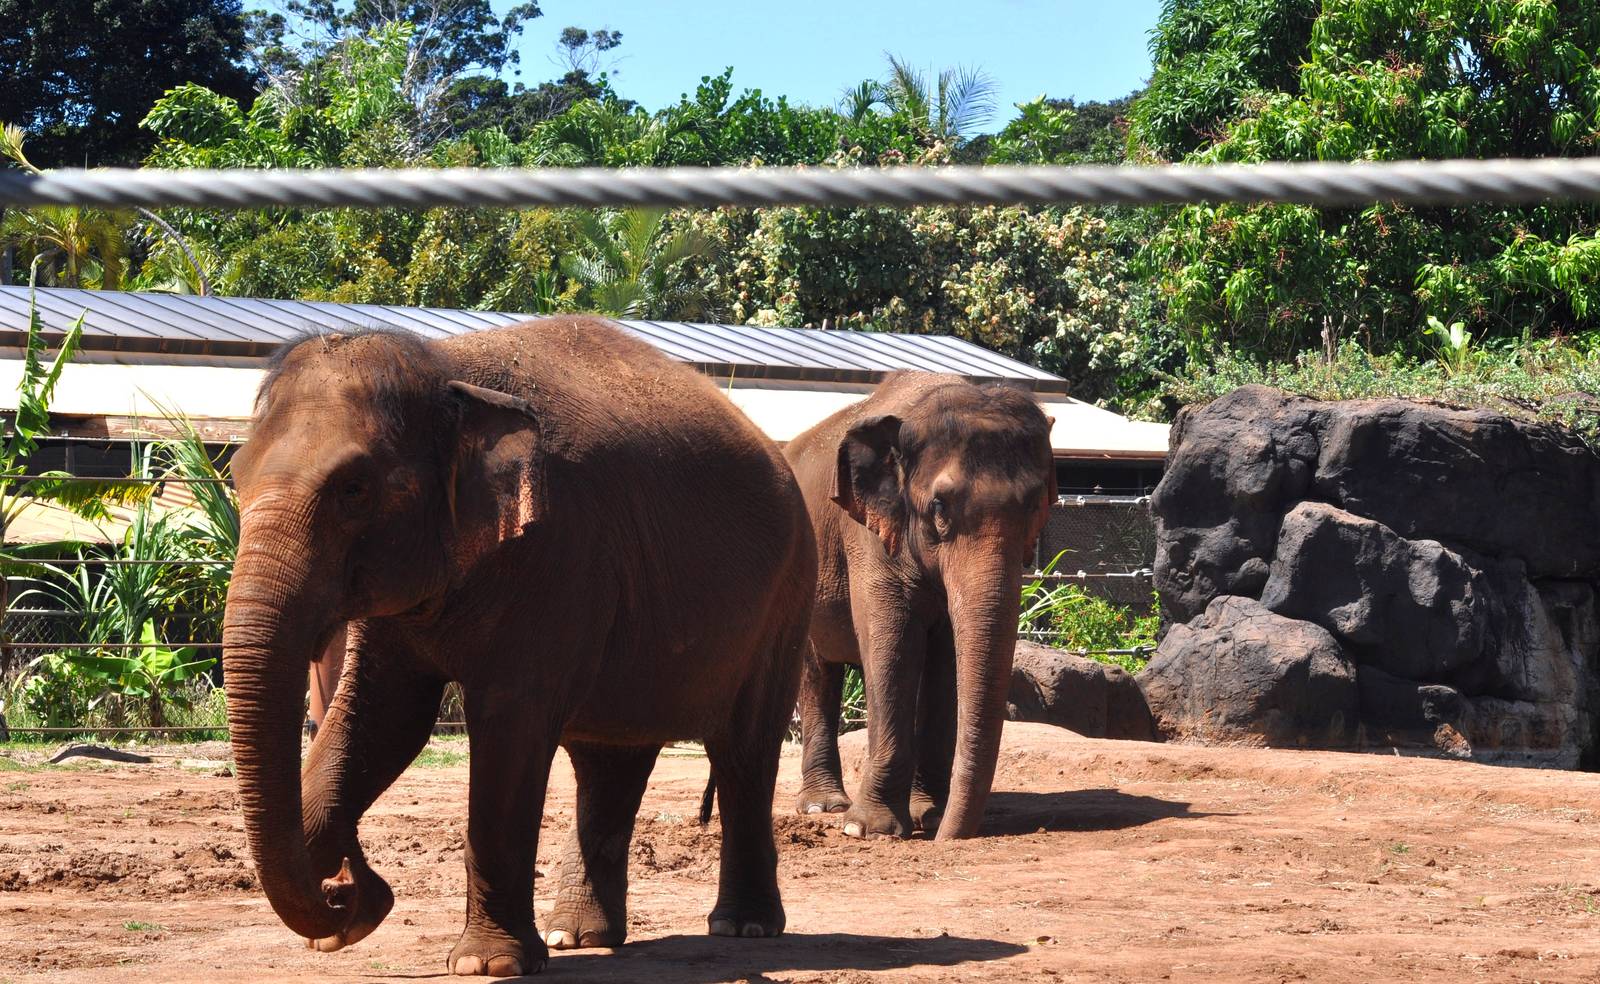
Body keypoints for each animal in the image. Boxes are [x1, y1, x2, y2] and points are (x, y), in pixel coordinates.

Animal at [222, 317, 816, 977]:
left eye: (354, 489)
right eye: (235, 476)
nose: (352, 885)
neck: (445, 369)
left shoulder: (560, 552)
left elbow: (509, 725)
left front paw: (487, 966)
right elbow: (382, 721)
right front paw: (336, 919)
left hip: (788, 600)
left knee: (744, 752)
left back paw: (743, 927)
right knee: (610, 759)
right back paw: (577, 936)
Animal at [786, 372, 1055, 841]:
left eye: (1035, 505)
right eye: (939, 507)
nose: (949, 837)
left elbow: (944, 658)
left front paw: (927, 814)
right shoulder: (869, 535)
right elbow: (892, 643)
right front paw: (867, 830)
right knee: (816, 670)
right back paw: (824, 807)